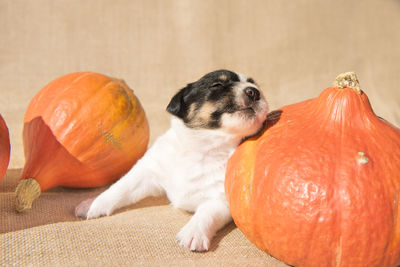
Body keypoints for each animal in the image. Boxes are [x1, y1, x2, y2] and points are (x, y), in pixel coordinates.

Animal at [75, 70, 268, 252]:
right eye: (217, 85)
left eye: (254, 85)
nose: (254, 91)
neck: (205, 147)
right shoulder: (148, 170)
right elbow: (119, 188)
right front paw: (93, 204)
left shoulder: (221, 199)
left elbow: (206, 214)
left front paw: (193, 233)